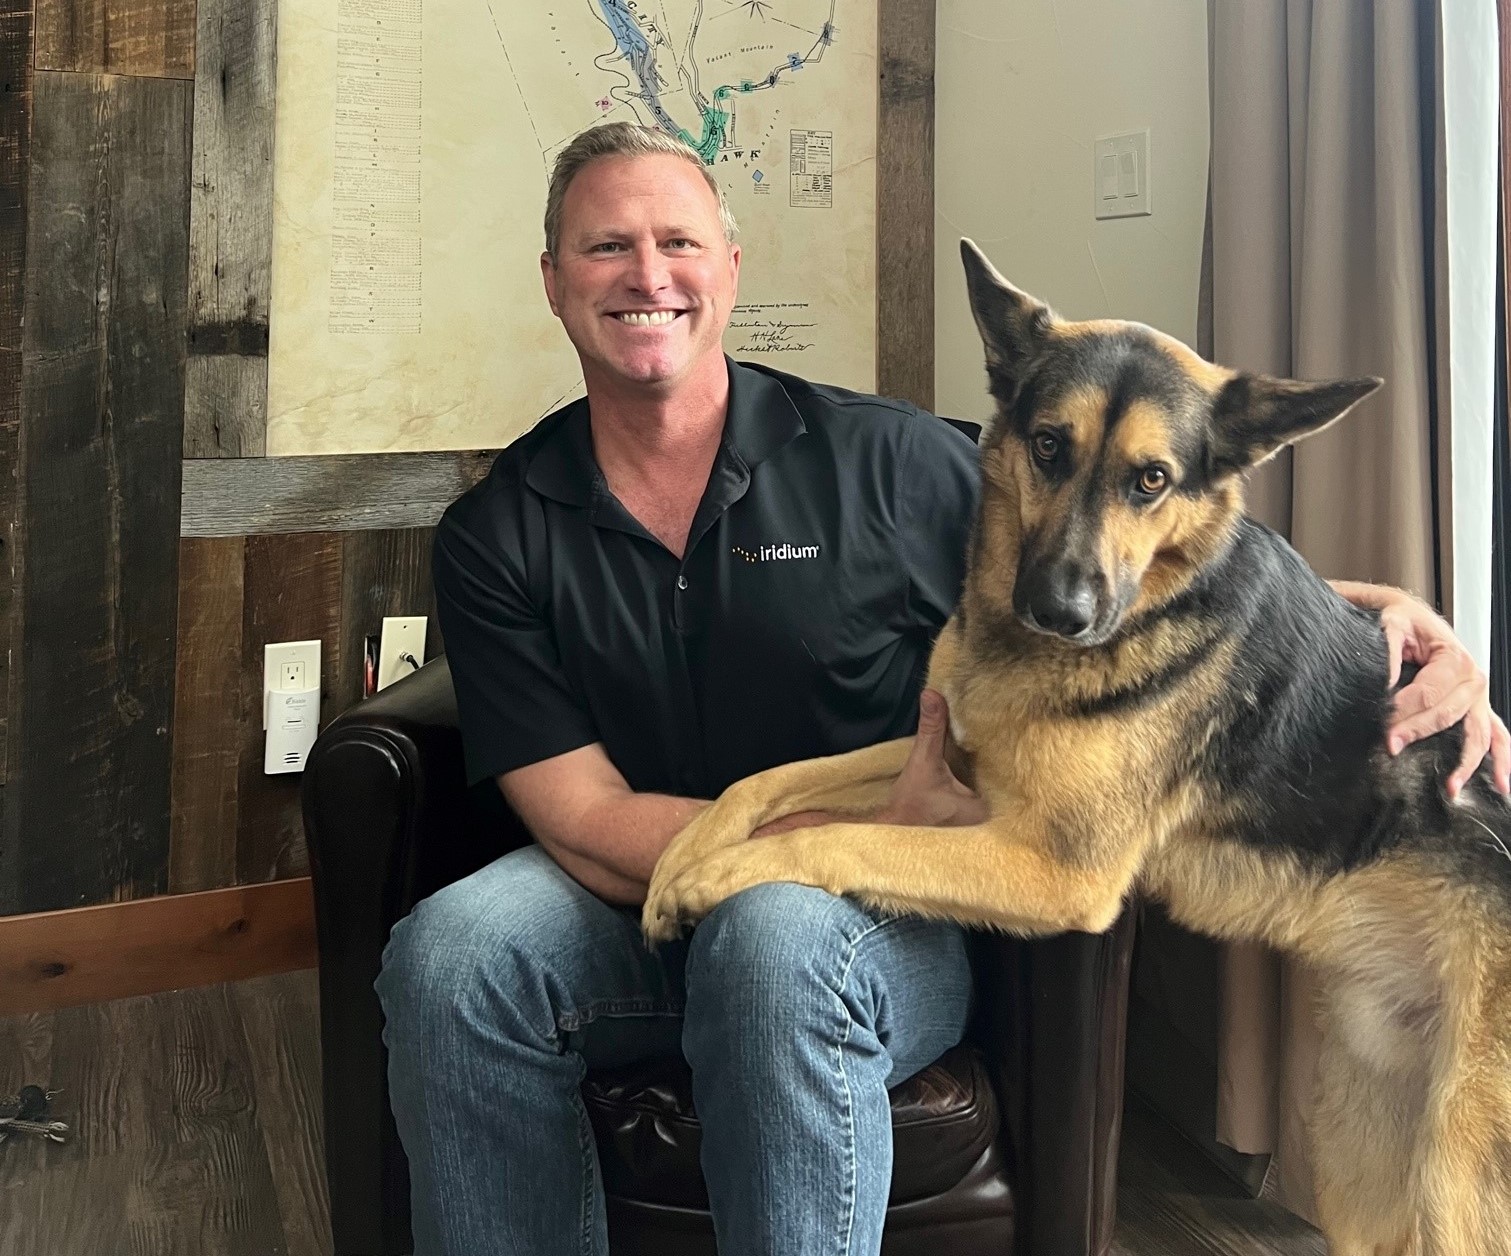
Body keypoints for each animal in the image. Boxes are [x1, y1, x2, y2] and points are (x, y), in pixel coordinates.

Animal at [643, 240, 1511, 1251]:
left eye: (1152, 480)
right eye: (1049, 446)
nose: (1059, 611)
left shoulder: (1053, 871)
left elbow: (836, 838)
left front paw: (719, 875)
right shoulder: (947, 755)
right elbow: (763, 782)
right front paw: (678, 864)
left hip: (1451, 1188)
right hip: (1359, 1154)